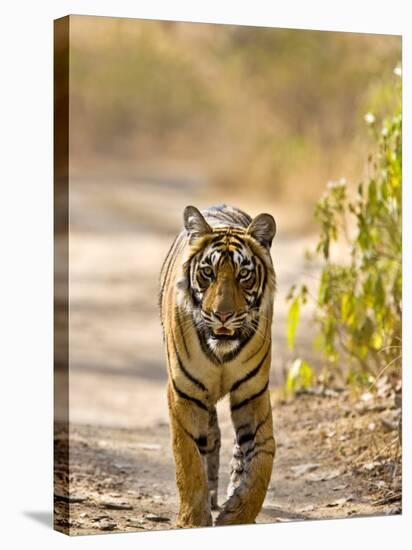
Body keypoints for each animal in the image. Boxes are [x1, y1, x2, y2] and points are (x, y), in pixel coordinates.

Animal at [159, 205, 276, 528]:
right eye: (208, 273)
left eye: (243, 275)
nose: (222, 315)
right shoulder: (184, 393)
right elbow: (187, 458)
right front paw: (193, 520)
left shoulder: (253, 393)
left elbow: (263, 457)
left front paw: (237, 515)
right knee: (208, 437)